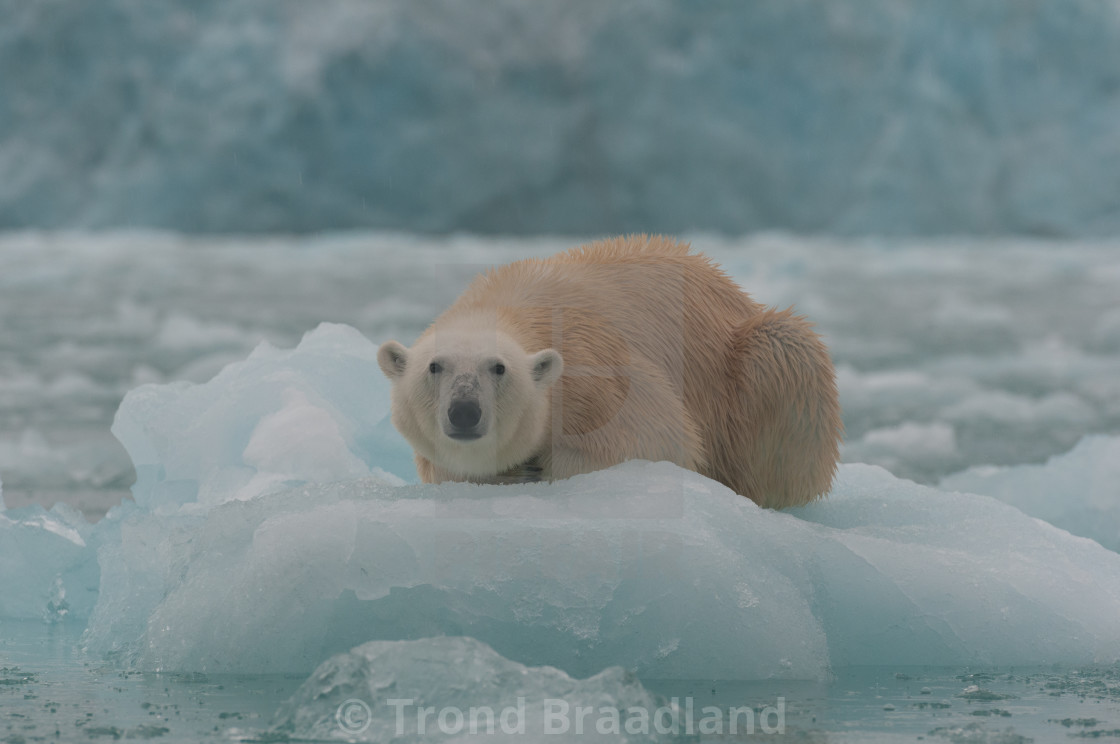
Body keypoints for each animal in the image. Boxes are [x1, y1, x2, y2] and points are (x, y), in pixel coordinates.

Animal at [376, 235, 842, 508]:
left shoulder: (598, 366)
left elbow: (658, 438)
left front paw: (539, 466)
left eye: (499, 368)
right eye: (435, 366)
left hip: (744, 361)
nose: (464, 411)